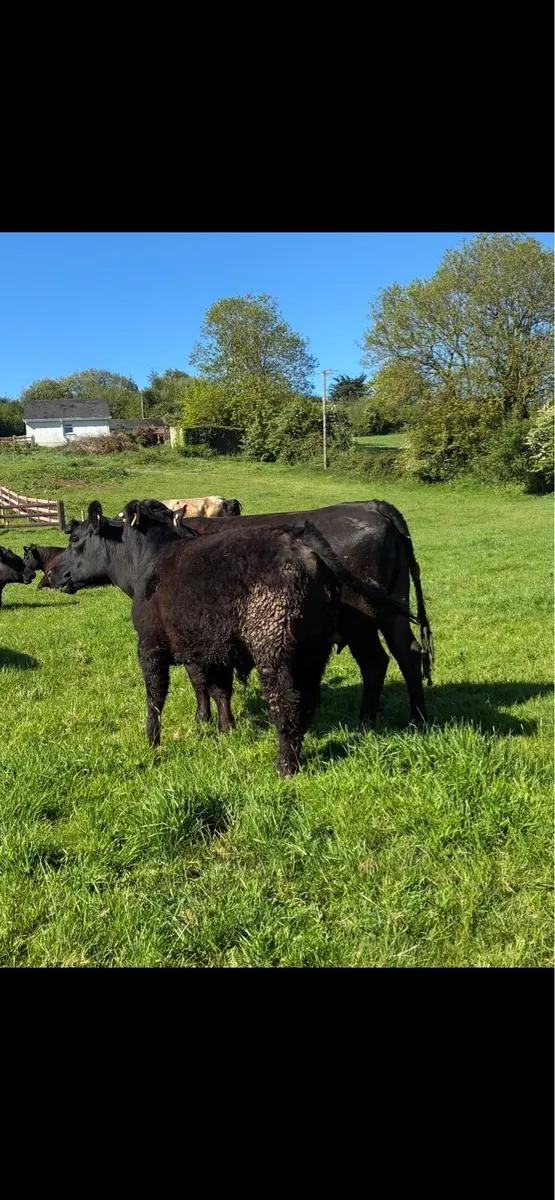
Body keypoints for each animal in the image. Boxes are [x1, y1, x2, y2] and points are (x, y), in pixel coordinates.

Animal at [49, 500, 415, 776]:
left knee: (289, 700)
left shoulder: (151, 645)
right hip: (318, 647)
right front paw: (225, 728)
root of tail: (303, 545)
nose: (52, 572)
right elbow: (219, 689)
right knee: (319, 693)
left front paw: (154, 739)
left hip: (279, 650)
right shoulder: (213, 647)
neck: (153, 559)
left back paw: (286, 765)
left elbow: (157, 695)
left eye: (75, 540)